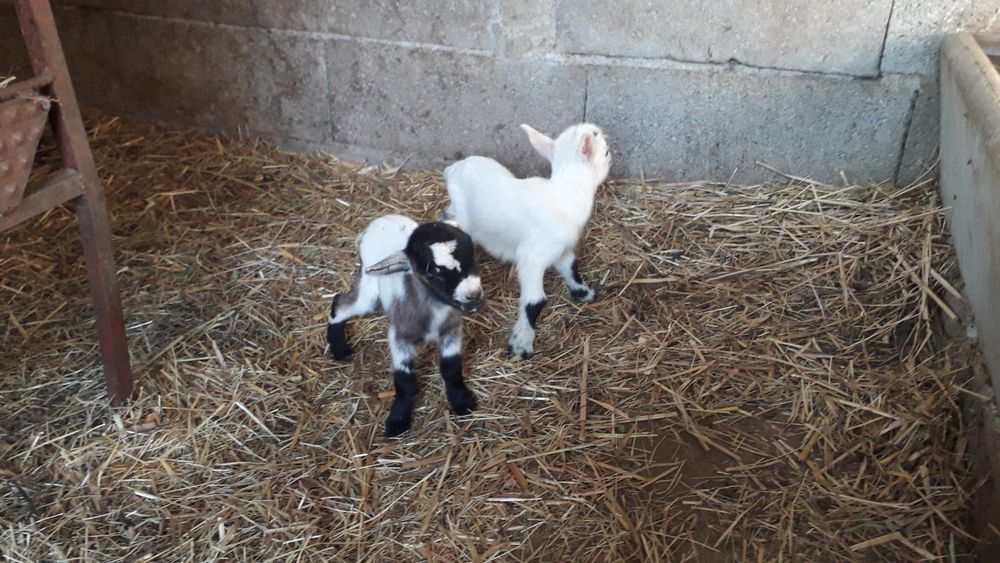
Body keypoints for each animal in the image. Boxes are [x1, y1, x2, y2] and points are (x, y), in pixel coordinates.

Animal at [326, 215, 484, 436]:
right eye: (432, 275)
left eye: (472, 257)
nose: (474, 295)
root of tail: (381, 219)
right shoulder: (399, 337)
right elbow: (404, 380)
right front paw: (398, 420)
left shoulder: (451, 330)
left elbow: (451, 367)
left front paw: (461, 401)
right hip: (370, 290)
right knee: (340, 304)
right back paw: (339, 349)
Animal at [443, 123, 611, 359]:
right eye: (606, 152)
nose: (611, 156)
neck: (565, 196)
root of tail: (454, 168)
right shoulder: (532, 256)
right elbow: (534, 301)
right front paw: (521, 345)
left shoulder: (559, 249)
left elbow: (571, 267)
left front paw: (584, 293)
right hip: (464, 216)